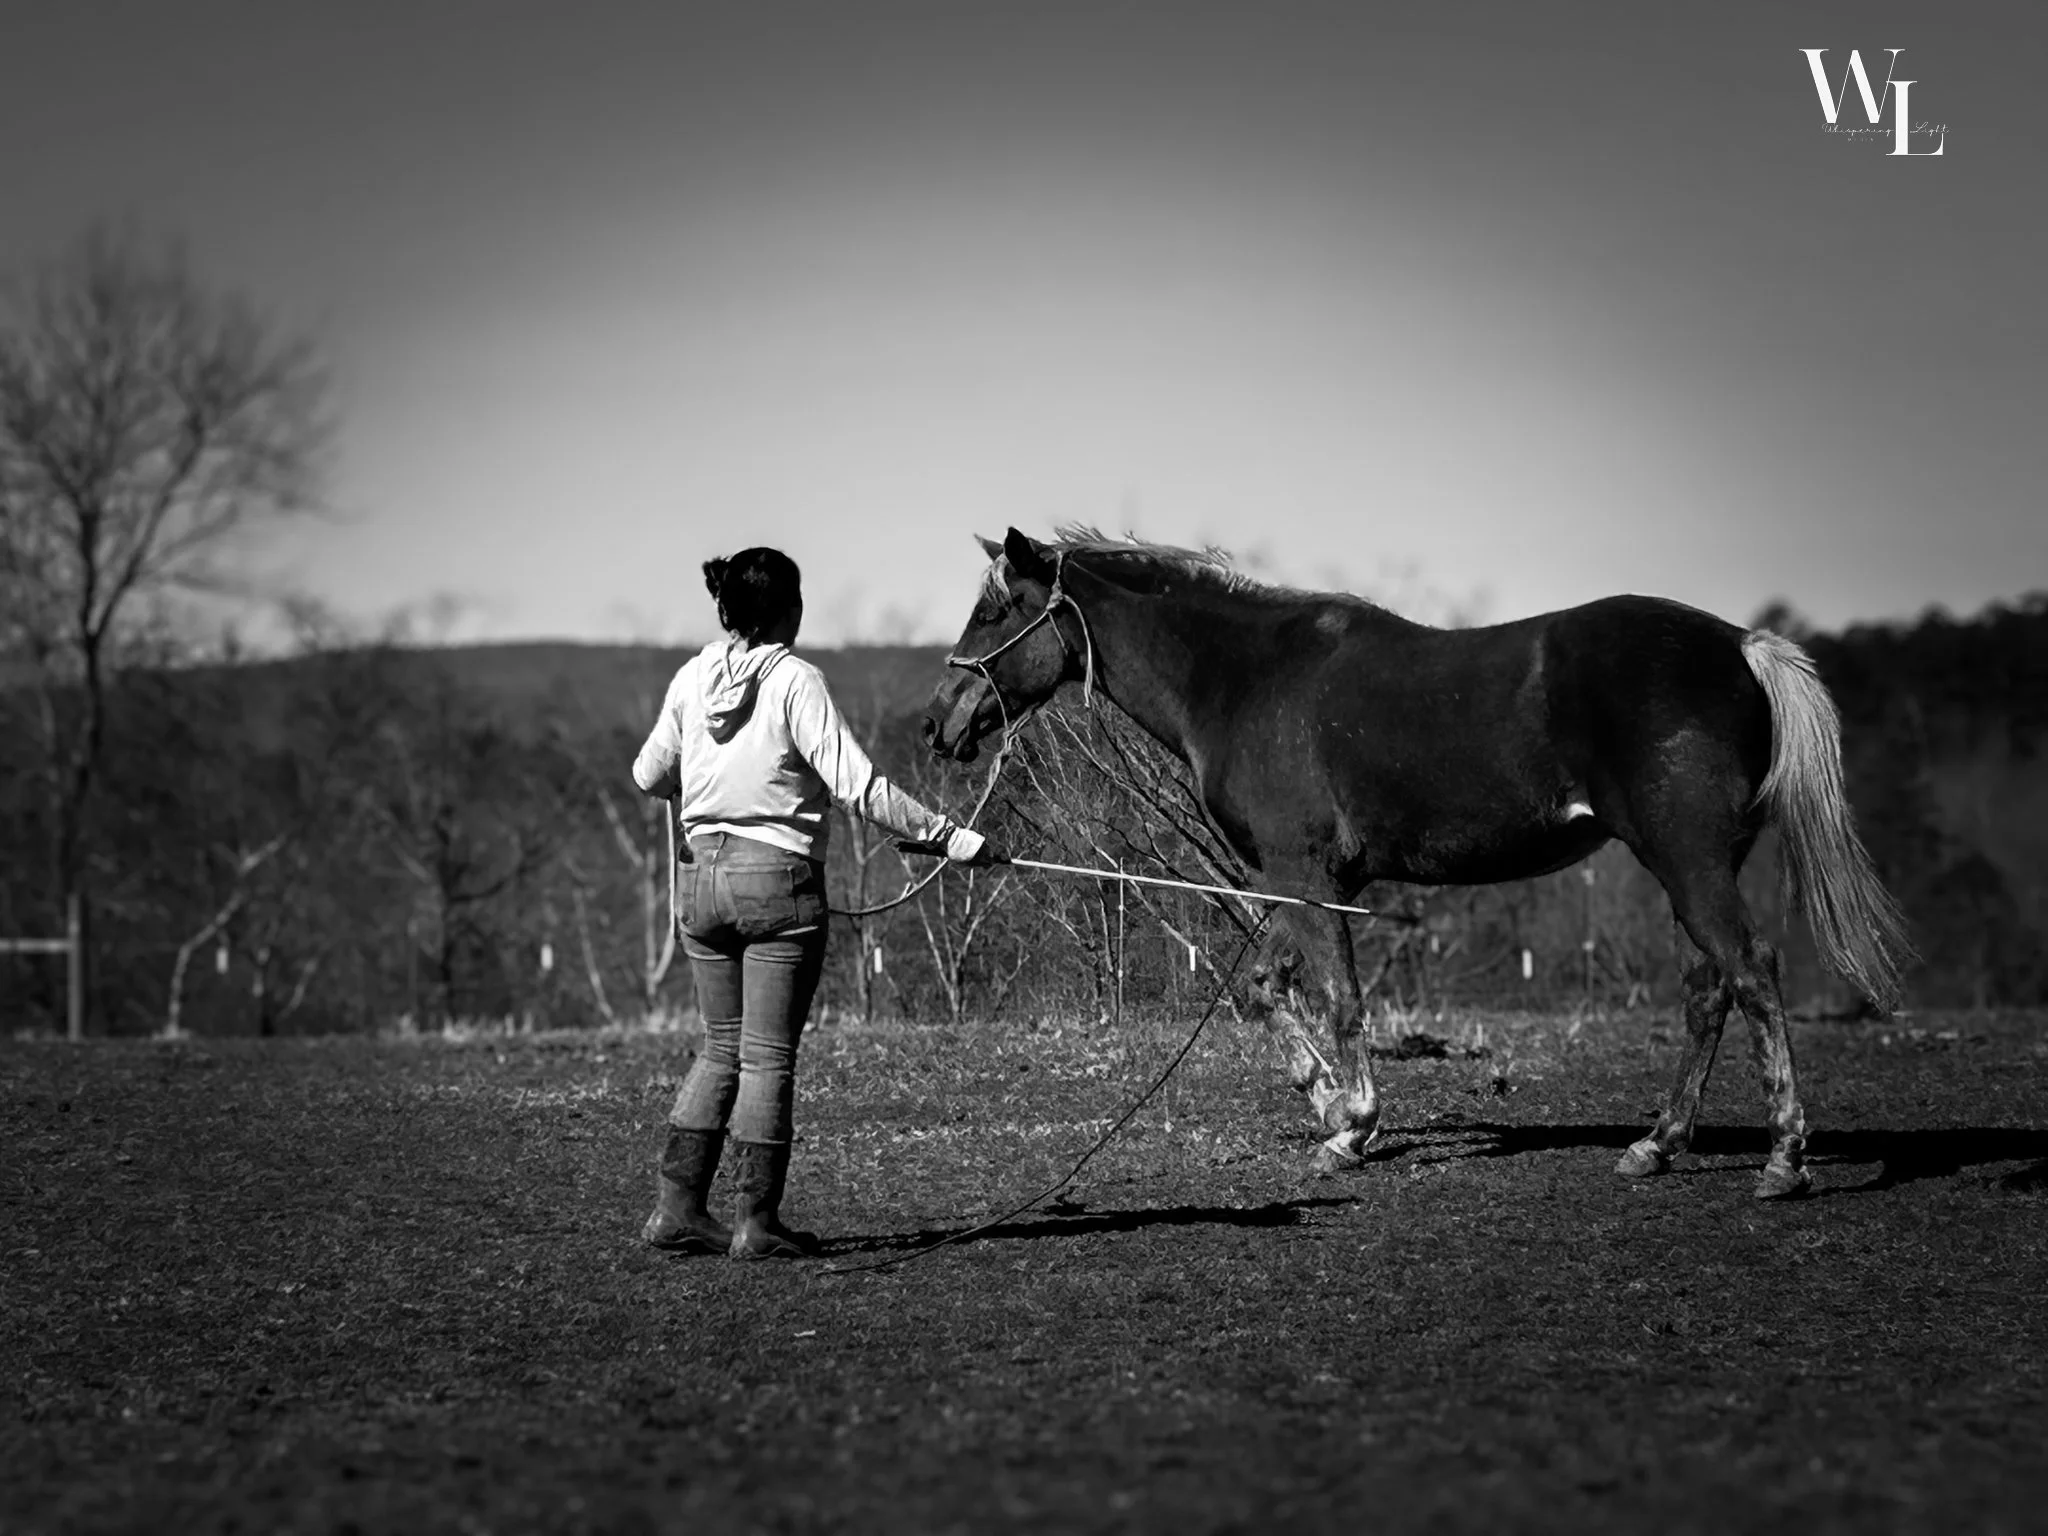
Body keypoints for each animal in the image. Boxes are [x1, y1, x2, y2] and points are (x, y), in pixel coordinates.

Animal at [923, 526, 1910, 1199]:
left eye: (996, 610)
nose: (938, 723)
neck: (1245, 677)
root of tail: (1741, 646)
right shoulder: (1293, 884)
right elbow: (1267, 989)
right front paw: (1326, 1104)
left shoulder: (1308, 879)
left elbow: (1341, 1001)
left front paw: (1351, 1128)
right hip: (1688, 870)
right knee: (1709, 991)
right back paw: (1657, 1146)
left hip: (1690, 864)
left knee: (1752, 972)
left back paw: (1784, 1157)